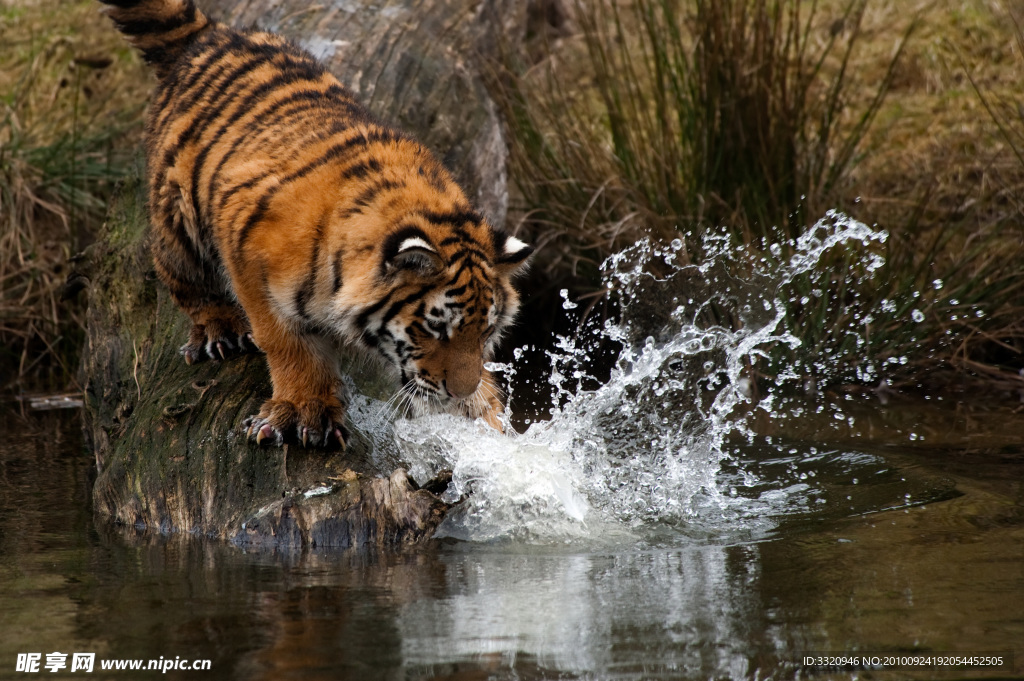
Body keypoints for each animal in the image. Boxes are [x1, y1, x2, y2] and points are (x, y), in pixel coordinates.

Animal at [99, 0, 532, 446]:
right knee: (183, 276)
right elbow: (288, 344)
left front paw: (488, 418)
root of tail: (212, 32)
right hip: (178, 218)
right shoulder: (249, 256)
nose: (459, 391)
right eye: (435, 329)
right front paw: (304, 411)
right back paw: (219, 330)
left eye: (485, 332)